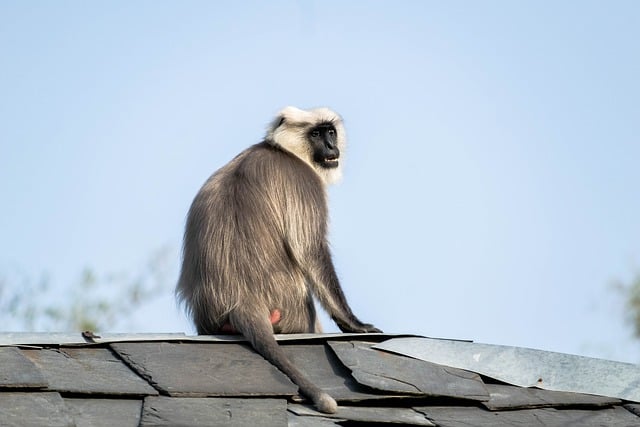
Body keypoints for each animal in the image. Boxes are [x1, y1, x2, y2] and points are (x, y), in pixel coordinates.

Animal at [175, 106, 380, 414]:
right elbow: (310, 251)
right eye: (316, 134)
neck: (283, 149)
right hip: (291, 308)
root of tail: (242, 302)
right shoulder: (303, 182)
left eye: (330, 132)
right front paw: (354, 324)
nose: (330, 146)